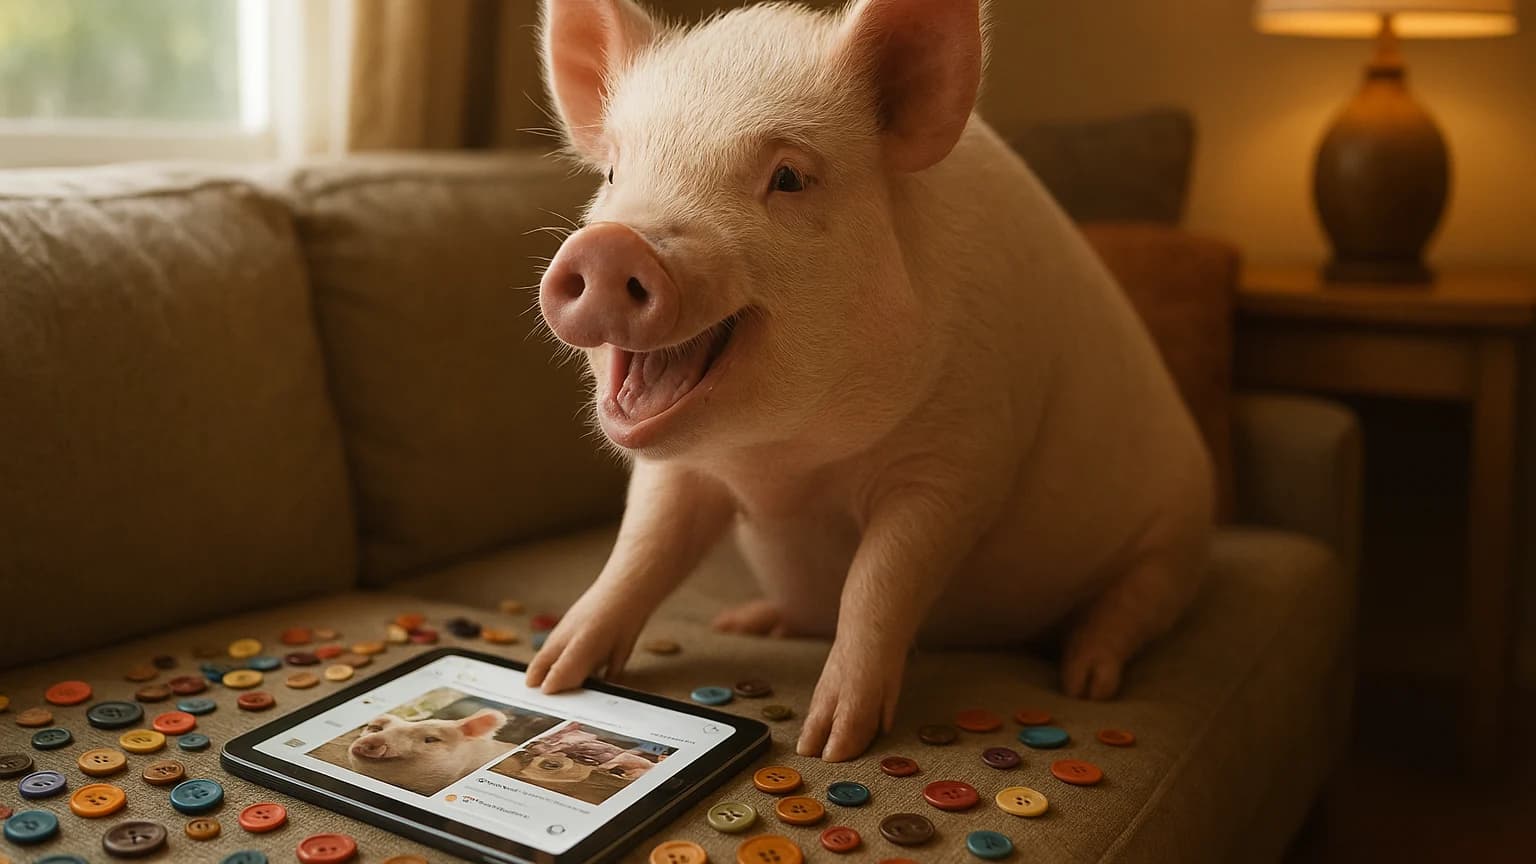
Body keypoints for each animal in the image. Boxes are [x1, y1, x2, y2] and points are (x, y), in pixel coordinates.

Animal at [527, 0, 1214, 762]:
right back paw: (750, 621)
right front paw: (548, 675)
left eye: (789, 178)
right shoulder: (677, 470)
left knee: (1133, 604)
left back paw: (1087, 679)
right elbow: (643, 549)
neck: (789, 465)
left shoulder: (960, 461)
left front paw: (829, 743)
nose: (611, 245)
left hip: (1177, 538)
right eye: (613, 173)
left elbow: (881, 582)